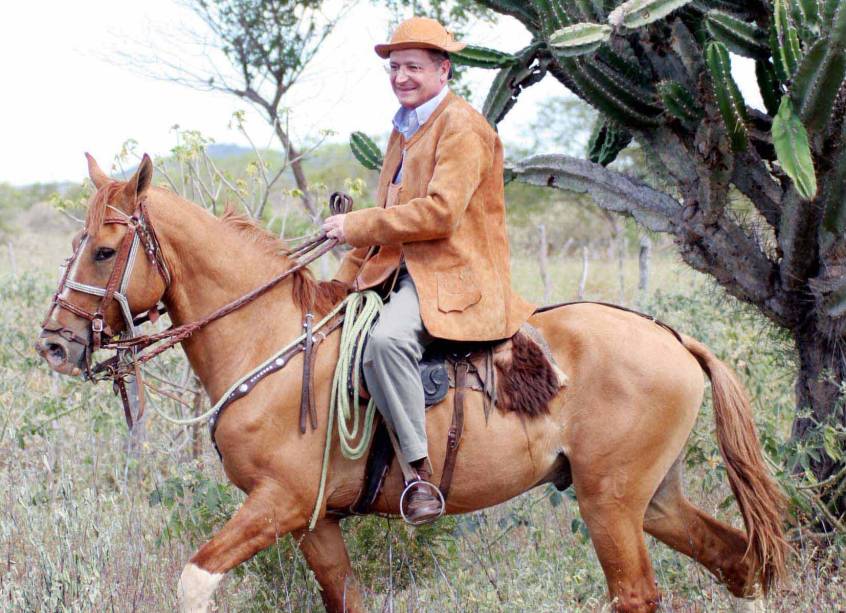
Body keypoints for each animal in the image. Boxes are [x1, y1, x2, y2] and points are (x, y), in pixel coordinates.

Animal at [33, 155, 788, 608]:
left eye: (105, 249)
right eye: (76, 244)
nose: (55, 343)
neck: (272, 344)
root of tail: (674, 338)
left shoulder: (276, 504)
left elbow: (194, 578)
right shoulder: (314, 523)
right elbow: (344, 598)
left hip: (611, 505)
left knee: (639, 592)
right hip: (652, 500)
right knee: (737, 561)